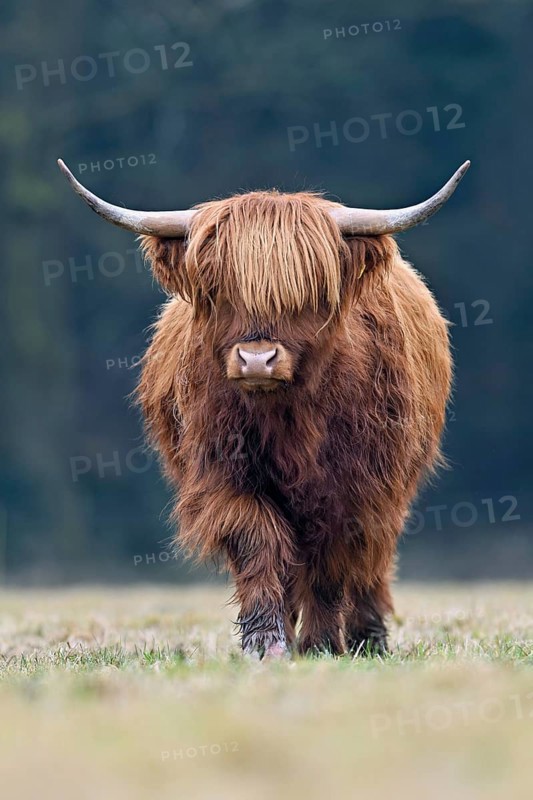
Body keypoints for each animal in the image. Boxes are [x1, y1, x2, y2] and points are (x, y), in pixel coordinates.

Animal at [58, 158, 469, 658]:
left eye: (308, 292)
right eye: (217, 290)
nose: (257, 359)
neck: (288, 416)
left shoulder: (355, 488)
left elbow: (332, 564)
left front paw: (321, 643)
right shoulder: (224, 475)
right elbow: (258, 542)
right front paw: (267, 641)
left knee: (372, 559)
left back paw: (368, 637)